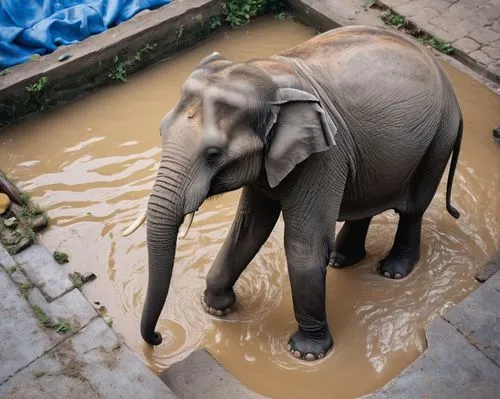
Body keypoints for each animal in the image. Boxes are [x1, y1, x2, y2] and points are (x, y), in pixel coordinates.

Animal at [124, 25, 460, 362]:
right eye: (161, 132)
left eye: (213, 155)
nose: (160, 337)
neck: (267, 77)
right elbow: (247, 230)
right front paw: (214, 308)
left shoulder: (323, 155)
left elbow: (303, 245)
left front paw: (306, 354)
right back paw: (341, 260)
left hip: (438, 139)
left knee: (413, 208)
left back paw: (392, 272)